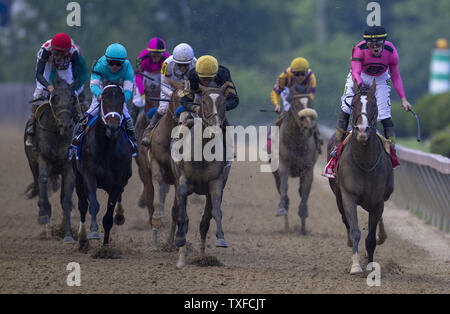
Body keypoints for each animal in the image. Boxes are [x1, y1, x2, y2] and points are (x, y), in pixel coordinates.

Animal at [24, 74, 77, 243]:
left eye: (72, 98)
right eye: (55, 97)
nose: (65, 125)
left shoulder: (69, 166)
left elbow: (66, 201)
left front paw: (68, 234)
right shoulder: (43, 158)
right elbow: (43, 180)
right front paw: (43, 214)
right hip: (32, 163)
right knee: (38, 182)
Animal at [74, 83, 132, 250]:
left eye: (122, 101)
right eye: (104, 100)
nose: (112, 128)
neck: (106, 149)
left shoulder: (118, 181)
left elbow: (108, 215)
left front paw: (105, 247)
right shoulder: (89, 175)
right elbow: (93, 204)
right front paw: (93, 232)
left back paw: (119, 215)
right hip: (78, 177)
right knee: (82, 205)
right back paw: (82, 239)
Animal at [170, 83, 230, 268]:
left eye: (224, 102)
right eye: (204, 101)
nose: (215, 128)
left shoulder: (216, 183)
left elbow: (215, 212)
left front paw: (221, 238)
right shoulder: (182, 183)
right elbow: (183, 217)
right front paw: (179, 242)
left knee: (204, 222)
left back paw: (203, 257)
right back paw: (181, 257)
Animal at [272, 94, 318, 234]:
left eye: (311, 104)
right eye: (296, 105)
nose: (308, 128)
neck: (296, 142)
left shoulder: (308, 169)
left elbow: (305, 191)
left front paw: (303, 215)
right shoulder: (283, 164)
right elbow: (284, 187)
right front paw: (281, 208)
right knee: (281, 188)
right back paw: (286, 224)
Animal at [326, 79, 392, 274]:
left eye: (374, 104)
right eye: (353, 104)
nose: (362, 130)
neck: (365, 163)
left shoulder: (378, 201)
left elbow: (370, 238)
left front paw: (371, 265)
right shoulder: (348, 195)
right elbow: (355, 230)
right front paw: (356, 265)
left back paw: (382, 235)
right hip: (338, 196)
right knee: (345, 220)